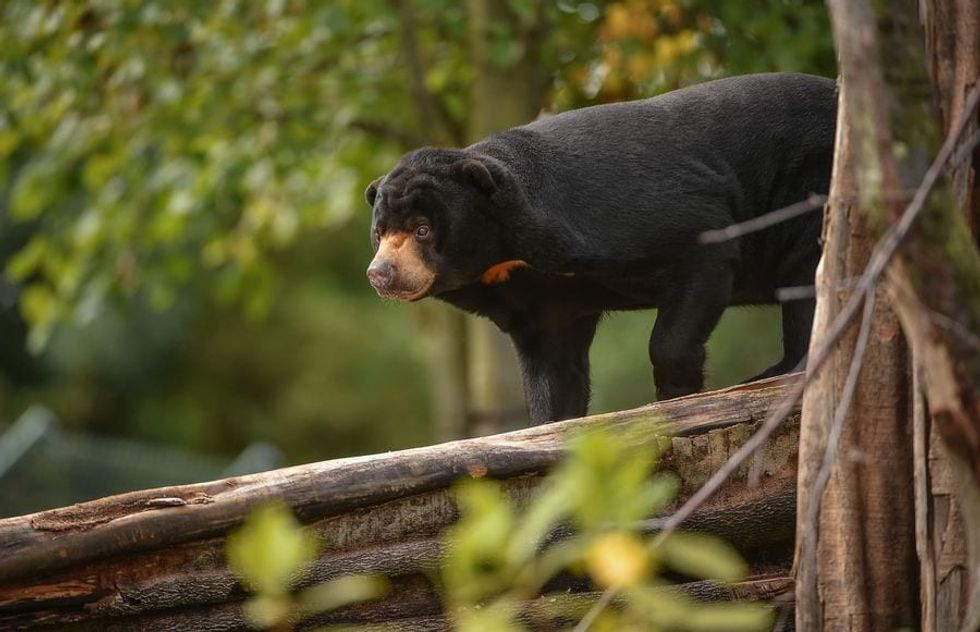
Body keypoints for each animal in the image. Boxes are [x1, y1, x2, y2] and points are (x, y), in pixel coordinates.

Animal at [365, 72, 837, 426]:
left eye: (423, 230)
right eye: (380, 233)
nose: (380, 273)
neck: (504, 253)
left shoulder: (636, 219)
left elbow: (700, 261)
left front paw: (677, 394)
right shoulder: (541, 295)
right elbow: (553, 369)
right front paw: (551, 423)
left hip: (811, 190)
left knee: (807, 278)